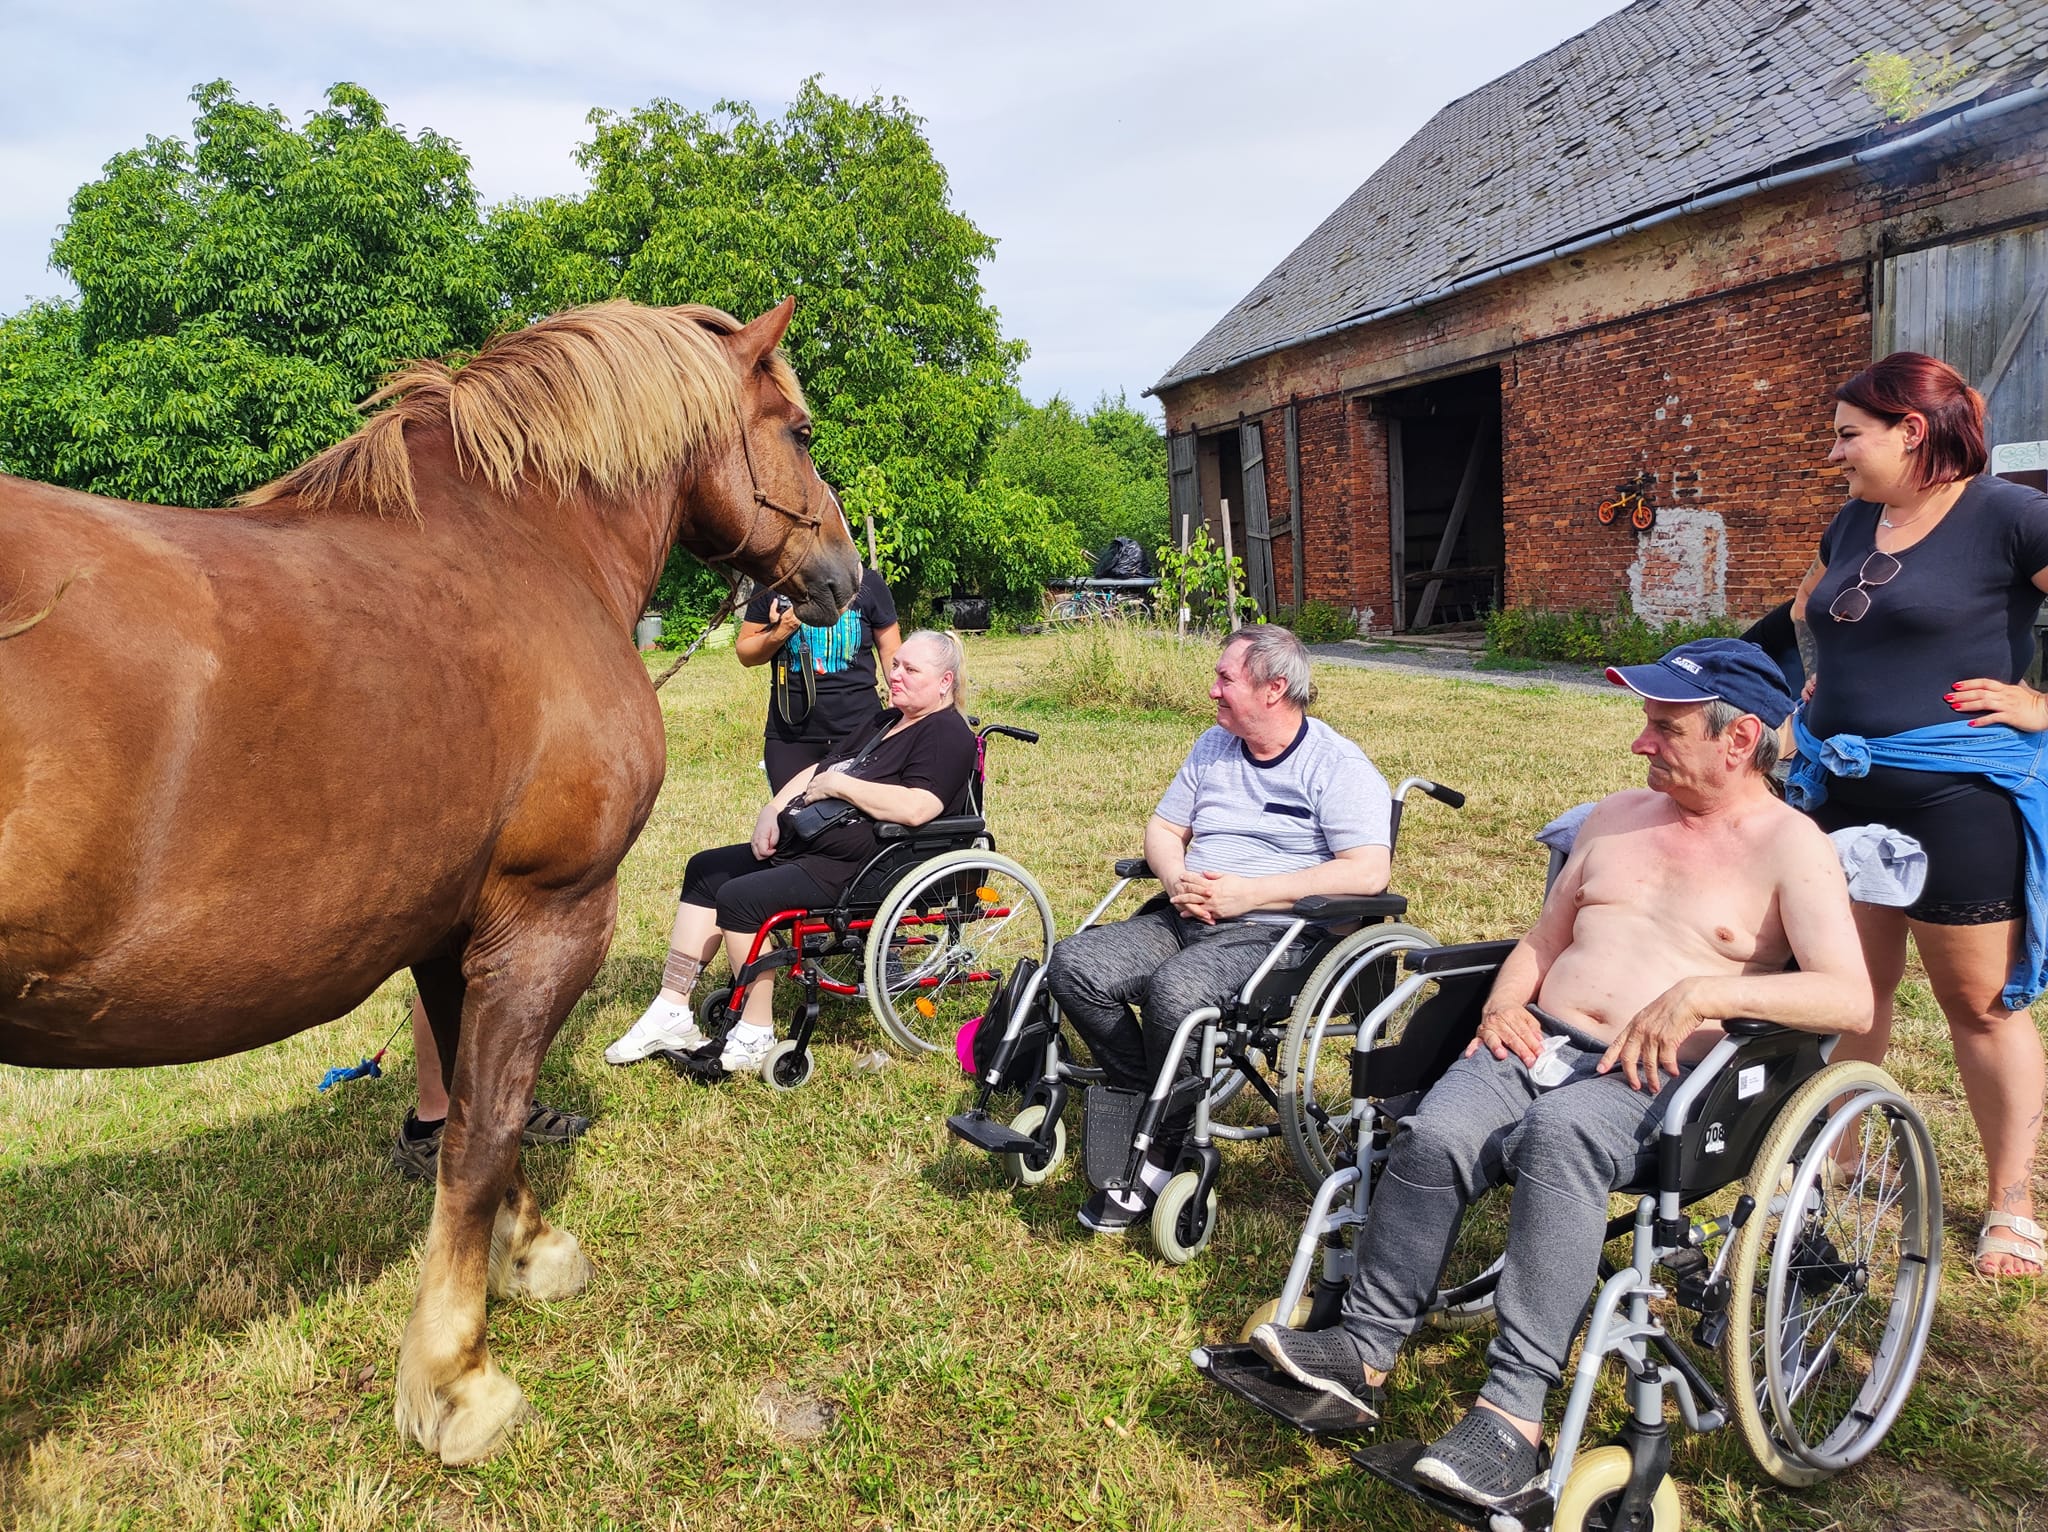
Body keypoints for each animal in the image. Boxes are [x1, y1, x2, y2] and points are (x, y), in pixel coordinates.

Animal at [0, 296, 860, 1458]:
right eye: (801, 432)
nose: (844, 573)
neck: (526, 544)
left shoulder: (456, 930)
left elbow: (475, 1102)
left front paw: (527, 1249)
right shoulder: (549, 914)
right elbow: (485, 1124)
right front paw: (457, 1374)